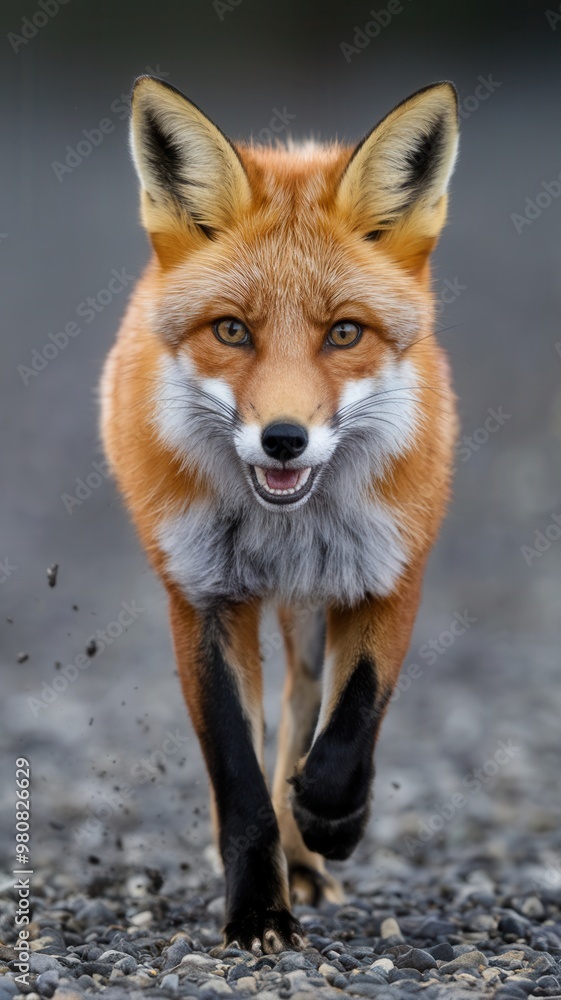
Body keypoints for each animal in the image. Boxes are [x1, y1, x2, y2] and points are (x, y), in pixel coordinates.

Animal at [100, 76, 459, 954]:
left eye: (344, 333)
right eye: (232, 330)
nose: (284, 439)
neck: (283, 526)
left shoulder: (391, 574)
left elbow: (352, 721)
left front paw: (331, 819)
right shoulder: (201, 598)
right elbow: (238, 774)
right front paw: (257, 910)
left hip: (314, 612)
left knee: (303, 708)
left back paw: (309, 855)